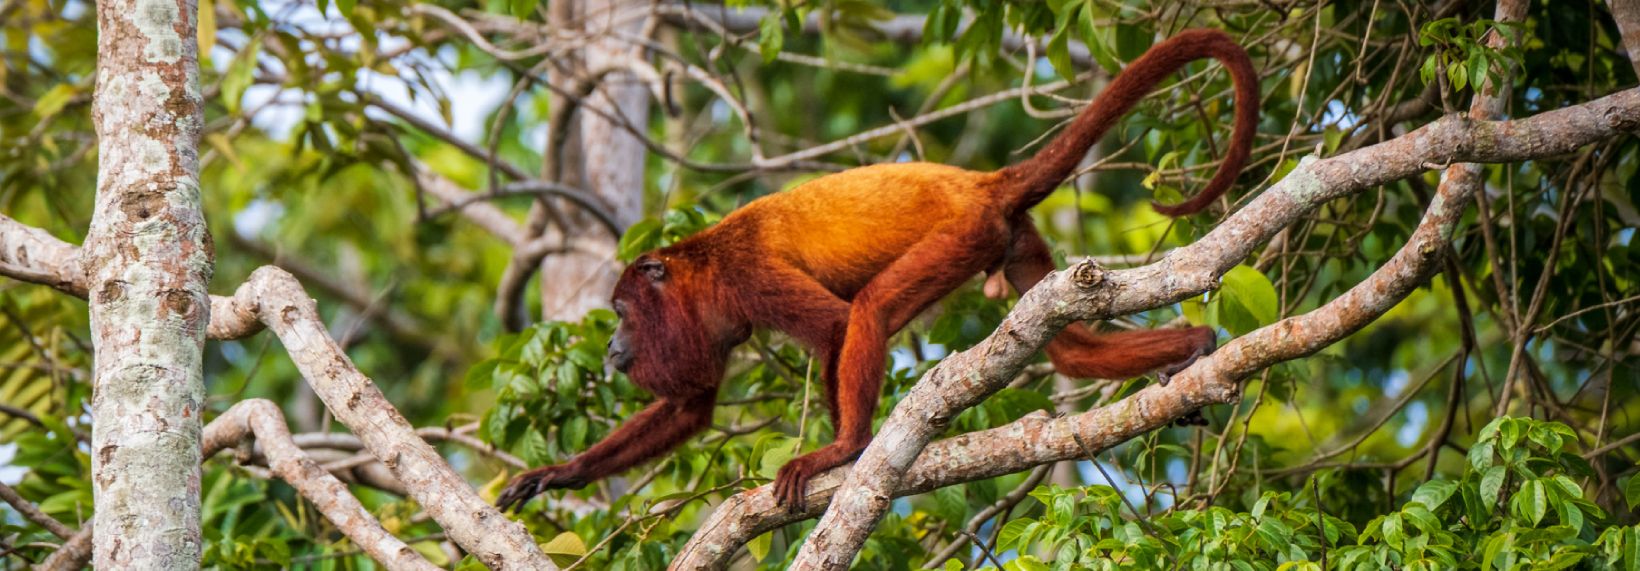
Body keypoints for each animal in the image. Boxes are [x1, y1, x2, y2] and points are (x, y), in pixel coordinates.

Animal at [496, 28, 1259, 512]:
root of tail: (983, 182)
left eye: (620, 312)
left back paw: (851, 446)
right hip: (1013, 242)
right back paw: (1192, 347)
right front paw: (559, 472)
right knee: (1070, 348)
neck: (698, 269)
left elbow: (835, 327)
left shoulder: (743, 275)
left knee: (870, 309)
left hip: (960, 235)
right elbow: (691, 405)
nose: (611, 346)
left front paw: (838, 451)